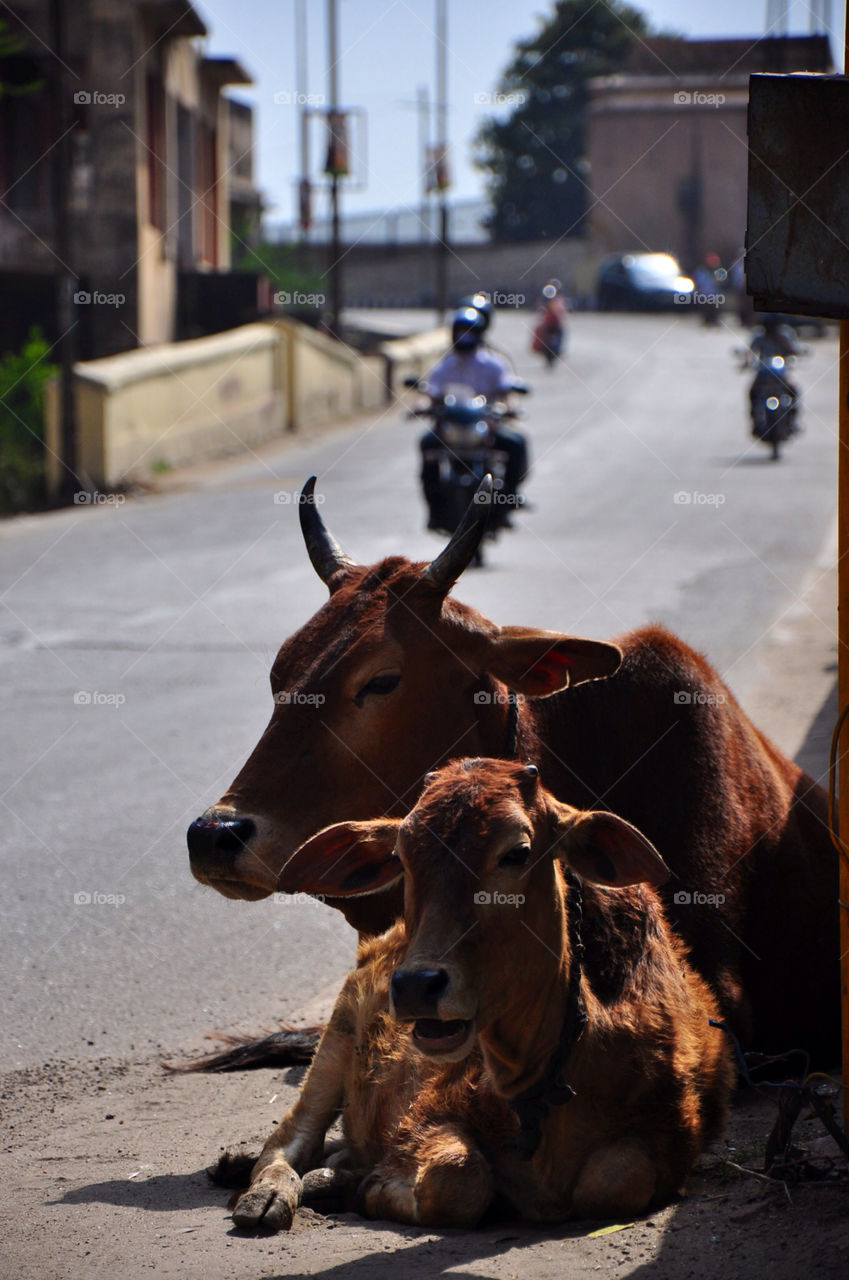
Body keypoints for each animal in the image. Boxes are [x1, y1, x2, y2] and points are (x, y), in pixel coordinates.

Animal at [229, 757, 734, 1231]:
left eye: (518, 852)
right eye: (401, 856)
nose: (415, 985)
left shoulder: (671, 1135)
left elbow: (619, 1177)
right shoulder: (425, 1116)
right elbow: (459, 1179)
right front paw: (365, 1186)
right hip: (336, 1035)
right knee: (287, 1141)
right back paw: (271, 1194)